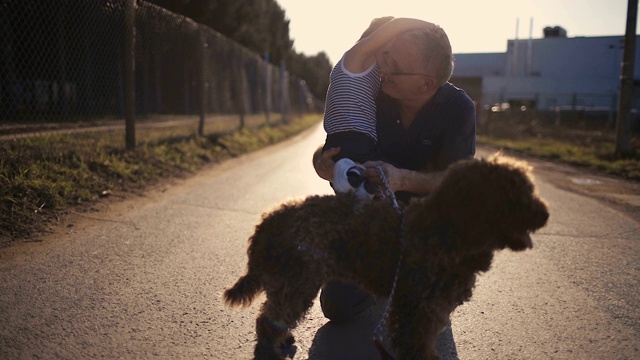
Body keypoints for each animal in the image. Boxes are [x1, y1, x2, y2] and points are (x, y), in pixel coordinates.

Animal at [222, 154, 548, 358]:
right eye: (514, 194)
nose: (545, 215)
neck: (445, 230)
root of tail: (270, 220)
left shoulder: (429, 309)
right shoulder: (415, 309)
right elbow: (416, 346)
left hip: (289, 279)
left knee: (272, 314)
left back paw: (284, 338)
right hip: (298, 281)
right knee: (269, 320)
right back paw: (270, 350)